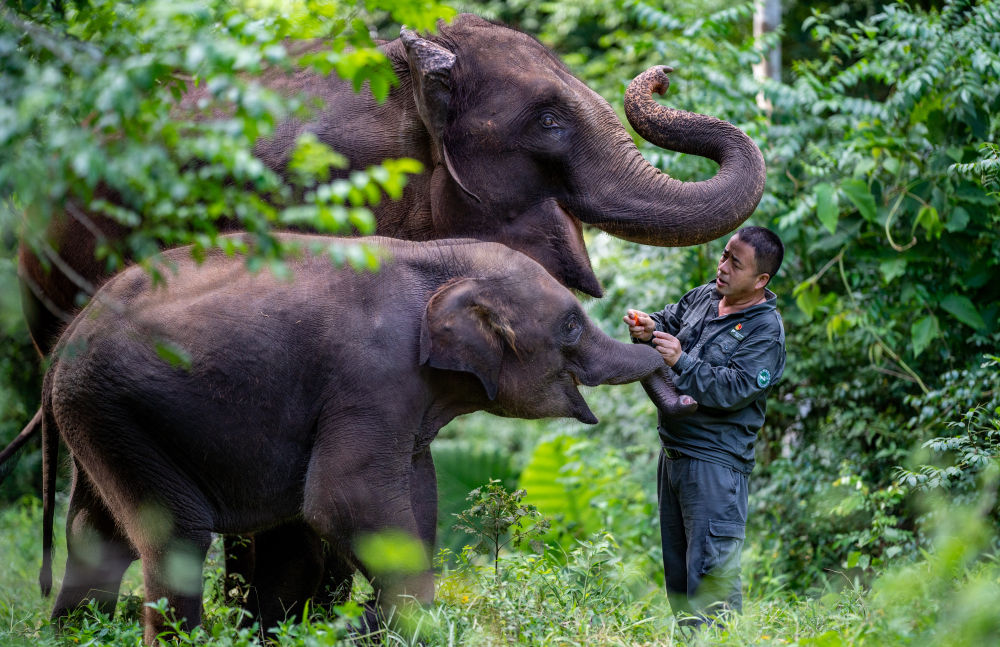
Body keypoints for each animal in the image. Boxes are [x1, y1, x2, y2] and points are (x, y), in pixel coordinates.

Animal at [43, 234, 672, 644]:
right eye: (571, 324)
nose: (652, 330)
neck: (437, 260)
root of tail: (63, 342)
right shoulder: (373, 376)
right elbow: (343, 498)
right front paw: (386, 623)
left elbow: (416, 494)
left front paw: (374, 624)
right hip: (114, 406)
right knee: (176, 535)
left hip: (108, 419)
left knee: (98, 535)